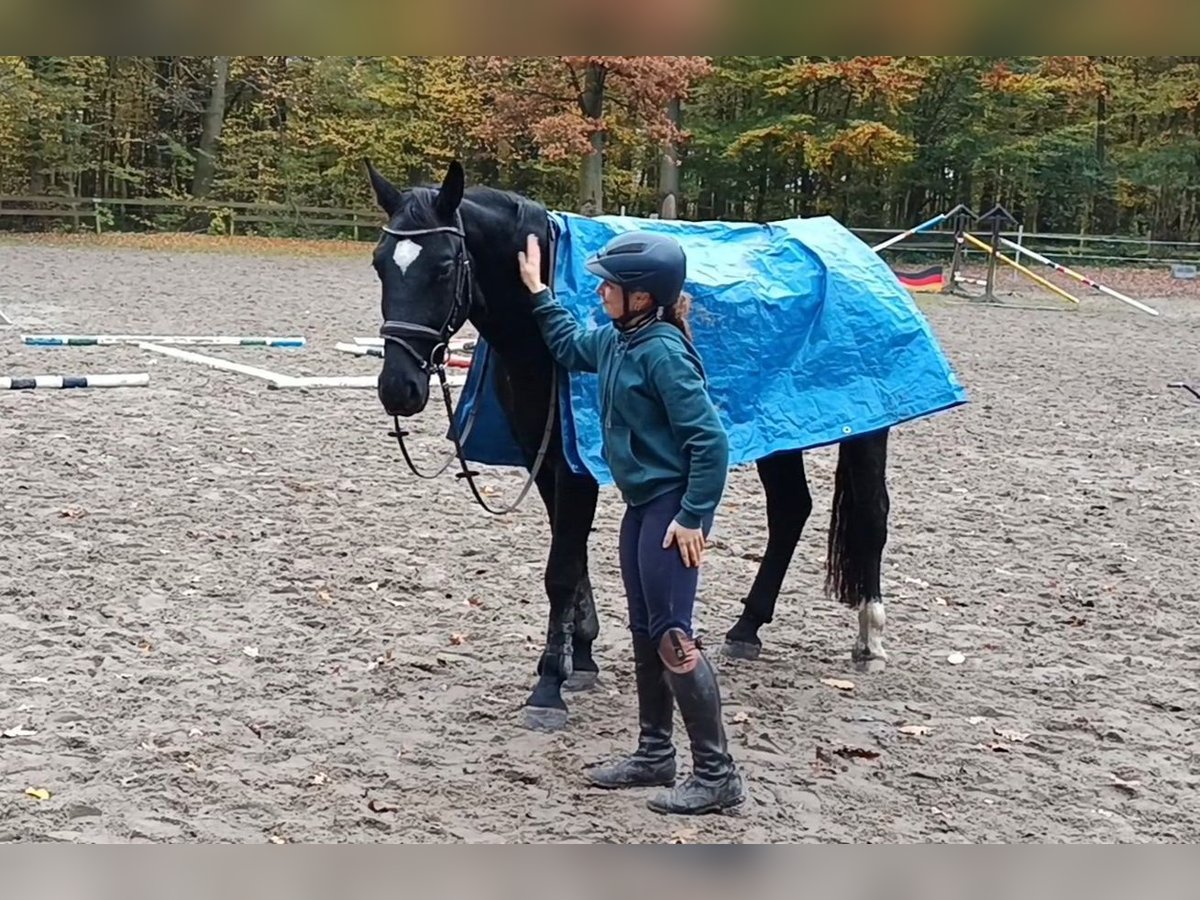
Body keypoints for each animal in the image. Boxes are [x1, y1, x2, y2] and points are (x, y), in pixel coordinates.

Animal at [364, 157, 892, 734]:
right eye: (379, 265)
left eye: (442, 267)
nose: (398, 388)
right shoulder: (546, 460)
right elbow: (574, 561)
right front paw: (580, 658)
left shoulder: (574, 466)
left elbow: (561, 570)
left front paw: (548, 687)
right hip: (779, 436)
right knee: (791, 510)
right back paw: (746, 629)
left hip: (867, 430)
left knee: (871, 514)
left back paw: (869, 636)